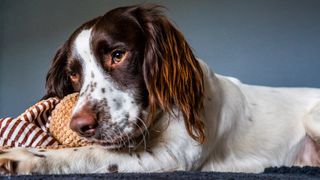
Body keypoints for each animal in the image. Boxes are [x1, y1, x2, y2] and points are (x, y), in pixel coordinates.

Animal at [0, 4, 320, 174]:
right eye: (74, 75)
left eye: (118, 55)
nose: (80, 125)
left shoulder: (172, 155)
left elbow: (91, 153)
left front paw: (23, 156)